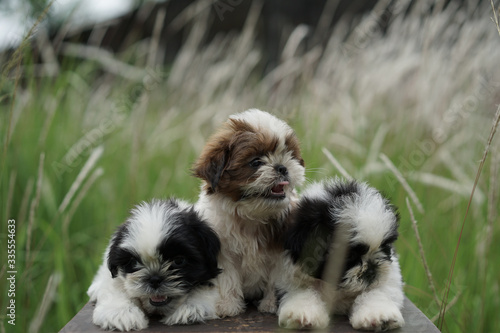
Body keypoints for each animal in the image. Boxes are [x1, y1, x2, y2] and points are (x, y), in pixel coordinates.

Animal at [87, 197, 221, 330]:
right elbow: (115, 287)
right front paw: (121, 312)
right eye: (134, 262)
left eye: (178, 261)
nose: (154, 279)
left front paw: (189, 307)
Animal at [193, 108, 306, 316]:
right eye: (256, 162)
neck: (251, 215)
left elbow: (275, 279)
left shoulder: (279, 253)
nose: (282, 167)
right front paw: (228, 305)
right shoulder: (223, 251)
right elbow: (228, 278)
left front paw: (270, 304)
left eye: (289, 155)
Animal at [278, 178, 406, 330]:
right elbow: (302, 291)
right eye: (349, 256)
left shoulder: (389, 279)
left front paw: (379, 315)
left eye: (385, 247)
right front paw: (301, 314)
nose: (371, 270)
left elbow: (376, 292)